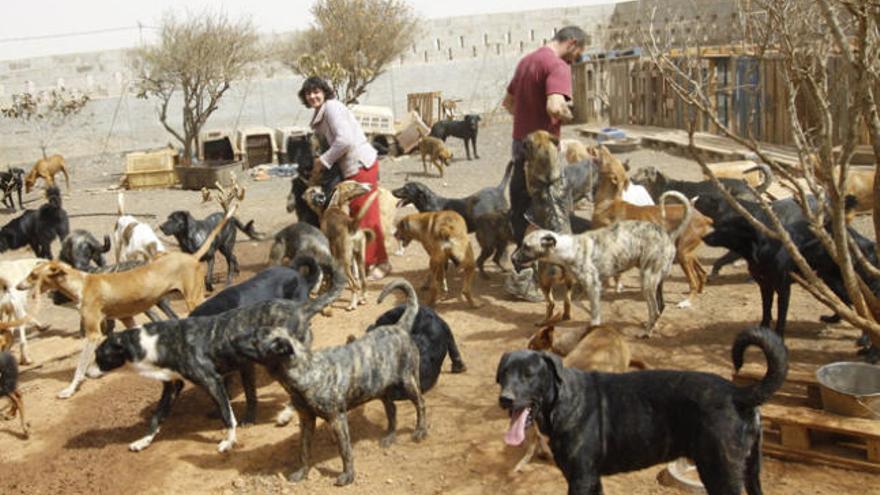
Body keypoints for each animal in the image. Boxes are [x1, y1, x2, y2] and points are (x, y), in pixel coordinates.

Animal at [18, 205, 237, 400]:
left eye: (34, 275)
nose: (19, 286)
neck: (83, 282)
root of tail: (191, 257)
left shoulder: (93, 334)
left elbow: (80, 367)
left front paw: (70, 390)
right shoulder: (126, 319)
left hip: (193, 297)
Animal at [234, 280, 426, 488]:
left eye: (255, 338)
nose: (232, 337)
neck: (306, 370)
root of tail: (400, 326)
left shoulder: (337, 419)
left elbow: (345, 451)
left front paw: (348, 476)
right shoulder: (306, 420)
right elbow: (303, 451)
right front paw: (302, 472)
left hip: (408, 381)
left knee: (421, 404)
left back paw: (420, 431)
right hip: (382, 390)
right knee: (392, 410)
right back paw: (390, 436)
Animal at [512, 192, 692, 340]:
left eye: (526, 246)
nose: (512, 258)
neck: (569, 248)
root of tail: (669, 235)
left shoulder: (592, 287)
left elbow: (593, 316)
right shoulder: (584, 289)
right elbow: (578, 307)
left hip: (647, 281)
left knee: (654, 309)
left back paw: (646, 333)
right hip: (657, 282)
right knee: (661, 307)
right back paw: (650, 326)